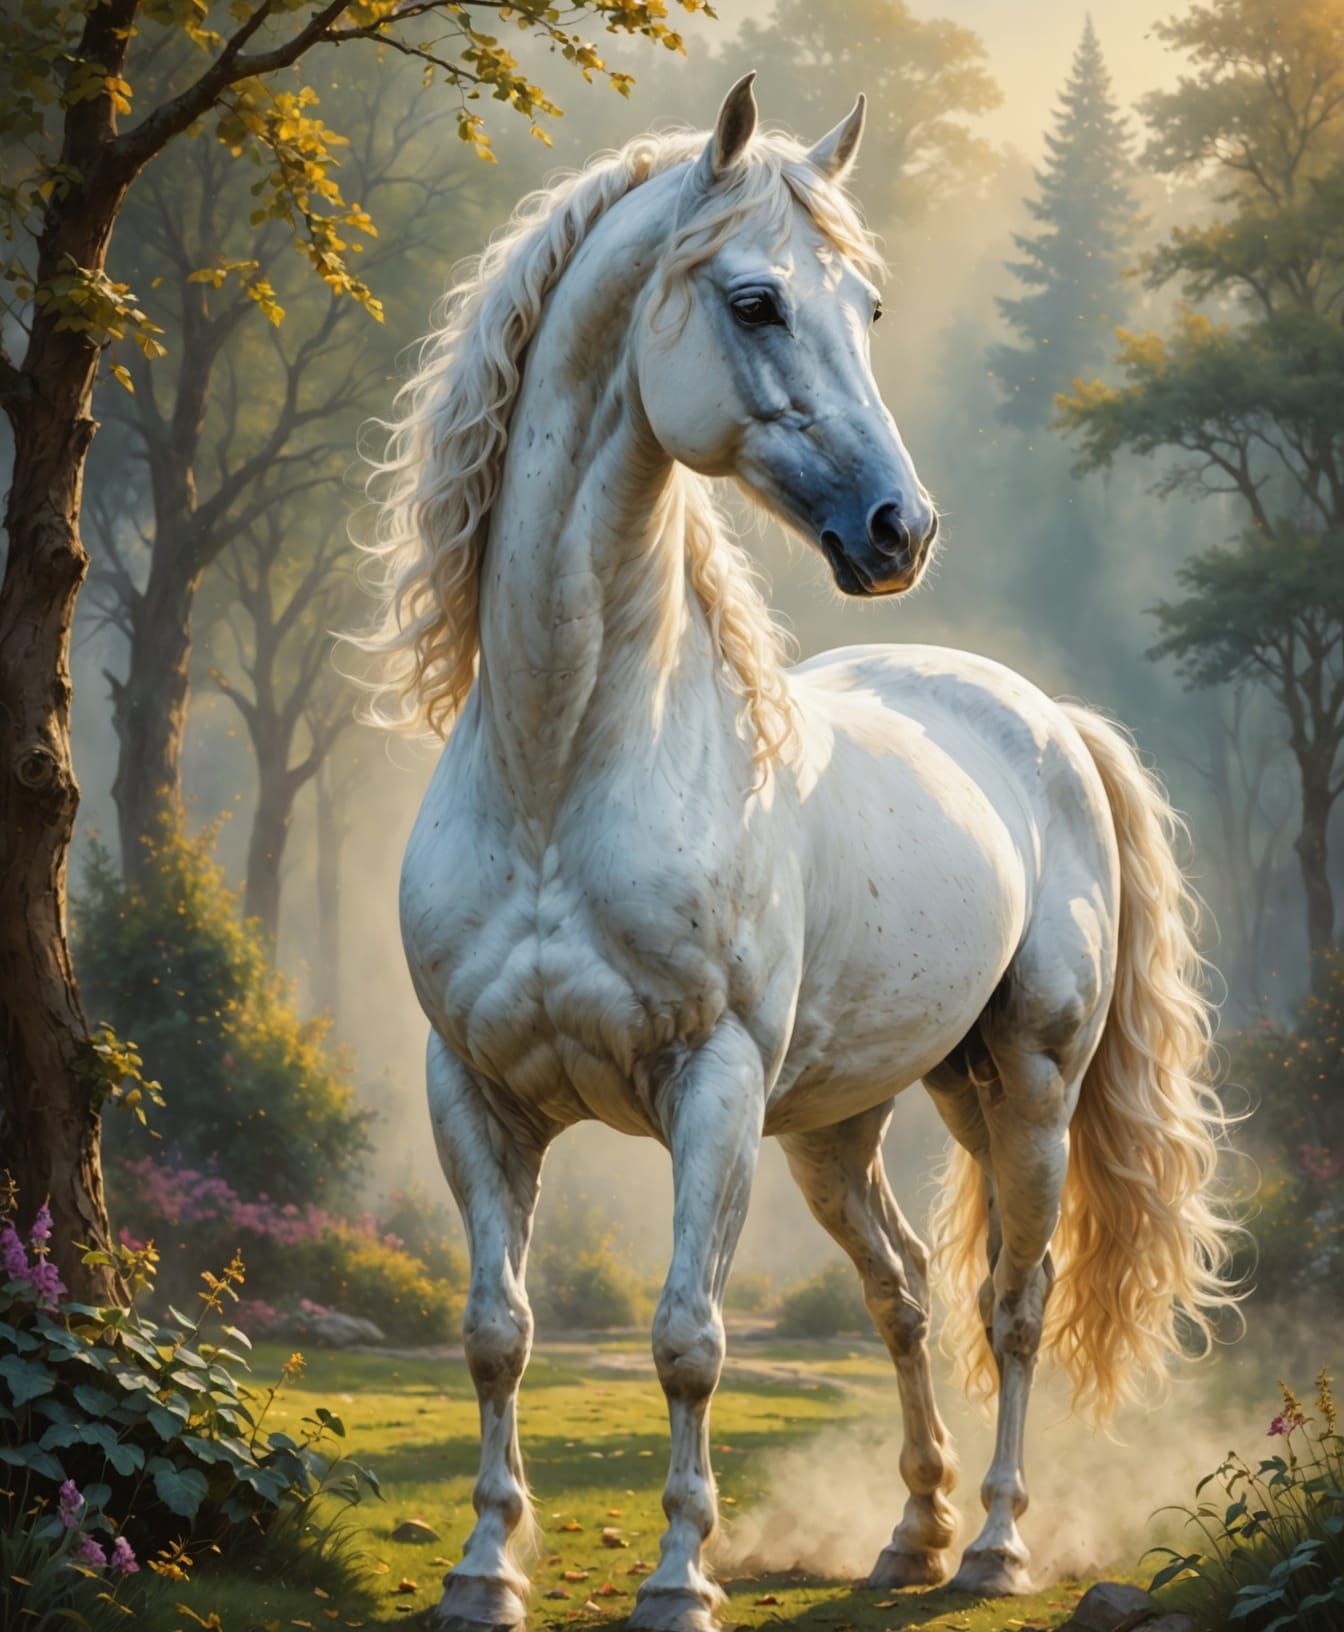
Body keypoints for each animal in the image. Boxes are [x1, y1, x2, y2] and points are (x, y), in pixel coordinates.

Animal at [362, 75, 1236, 1632]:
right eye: (758, 300)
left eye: (872, 308)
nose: (901, 529)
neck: (563, 768)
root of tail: (1046, 718)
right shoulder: (472, 1090)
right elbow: (494, 1332)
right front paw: (483, 1570)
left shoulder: (710, 1087)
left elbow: (688, 1340)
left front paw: (678, 1581)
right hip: (848, 1119)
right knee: (903, 1289)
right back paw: (913, 1535)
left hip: (1028, 1085)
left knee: (1014, 1301)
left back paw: (996, 1546)